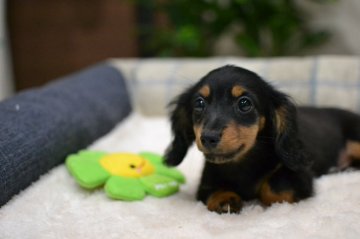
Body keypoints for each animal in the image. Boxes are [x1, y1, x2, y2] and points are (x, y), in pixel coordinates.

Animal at [165, 64, 360, 214]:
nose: (208, 137)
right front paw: (225, 199)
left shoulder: (301, 176)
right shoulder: (206, 181)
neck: (242, 163)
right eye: (199, 103)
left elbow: (274, 188)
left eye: (244, 103)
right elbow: (213, 189)